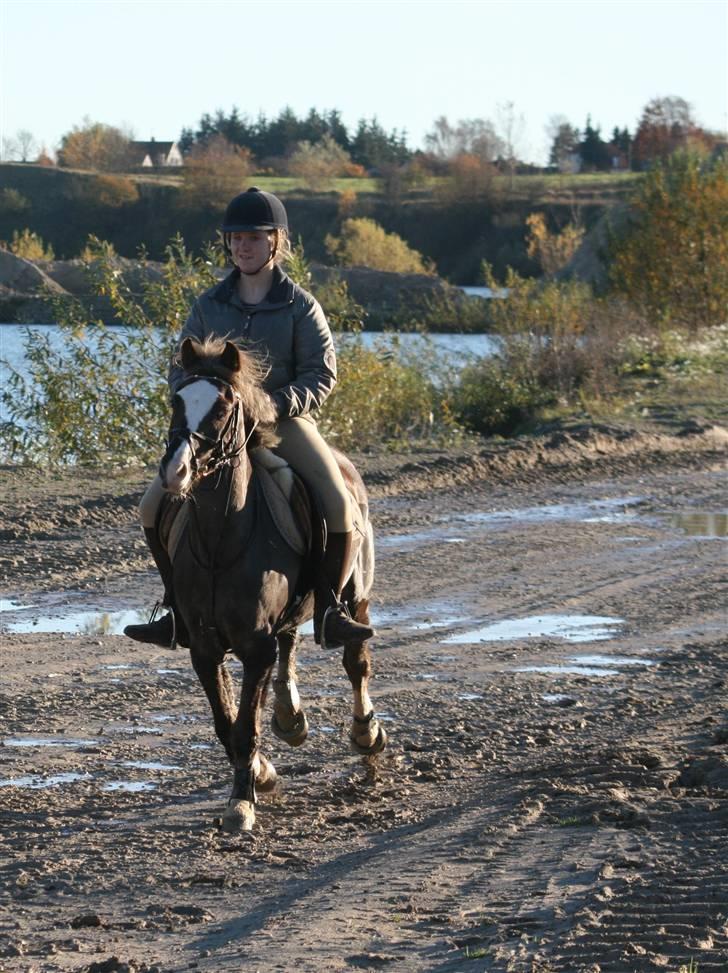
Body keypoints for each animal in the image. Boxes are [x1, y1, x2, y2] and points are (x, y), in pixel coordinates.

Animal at [157, 336, 390, 828]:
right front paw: (260, 774)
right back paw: (289, 714)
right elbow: (226, 721)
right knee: (290, 642)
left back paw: (365, 733)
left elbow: (245, 724)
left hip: (357, 596)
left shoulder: (255, 645)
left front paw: (242, 801)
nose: (175, 471)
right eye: (176, 401)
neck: (221, 541)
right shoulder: (204, 647)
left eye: (224, 406)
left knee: (355, 661)